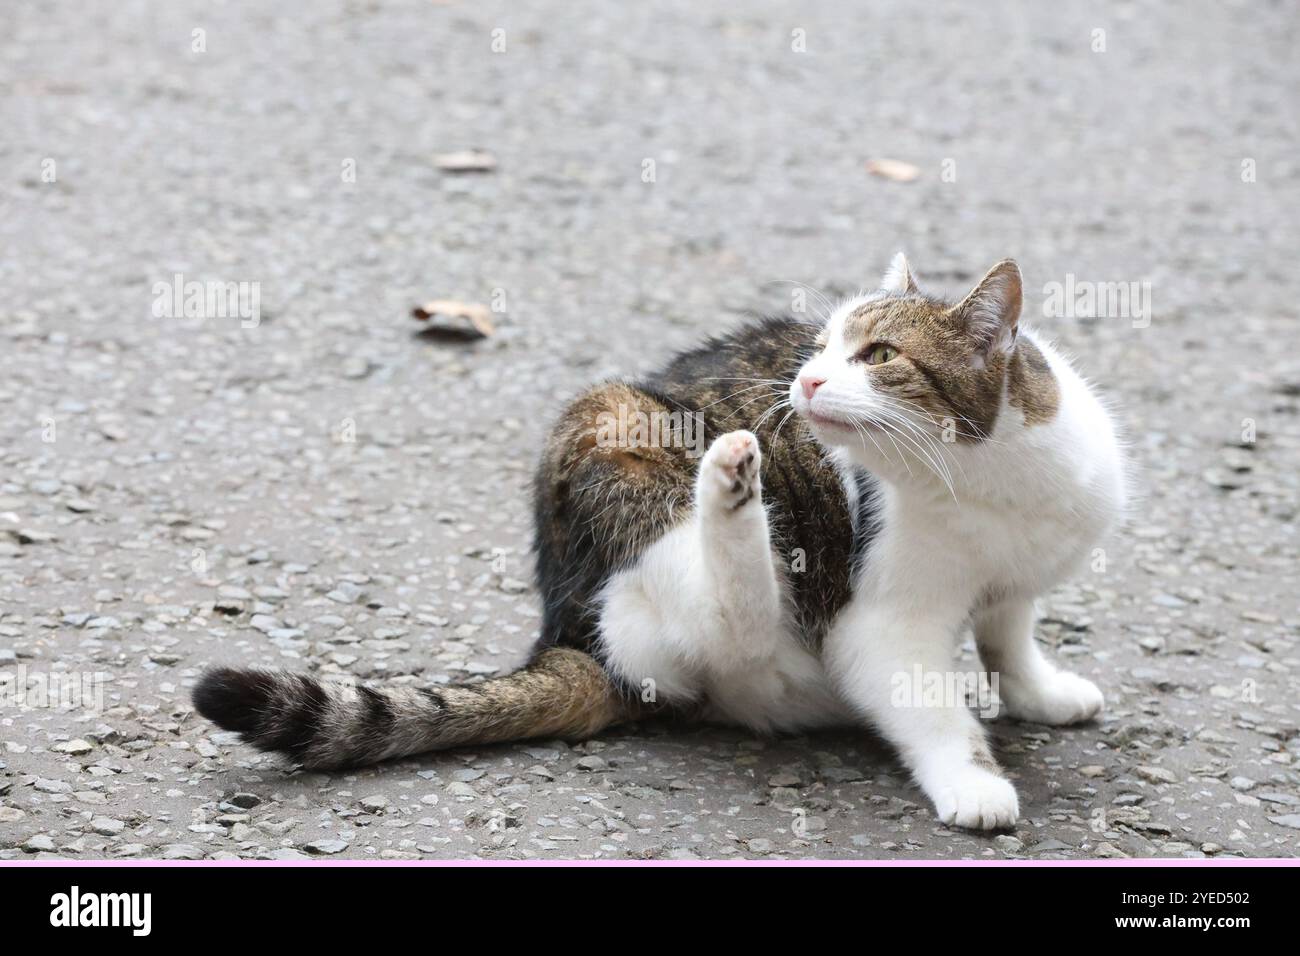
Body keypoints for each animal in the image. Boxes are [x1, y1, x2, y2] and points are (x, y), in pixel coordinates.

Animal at [195, 254, 1128, 832]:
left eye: (879, 354)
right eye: (823, 345)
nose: (806, 381)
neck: (985, 477)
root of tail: (567, 631)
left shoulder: (1018, 578)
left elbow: (1009, 635)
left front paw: (1040, 691)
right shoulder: (883, 626)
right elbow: (932, 707)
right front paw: (974, 782)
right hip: (617, 431)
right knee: (735, 619)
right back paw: (731, 484)